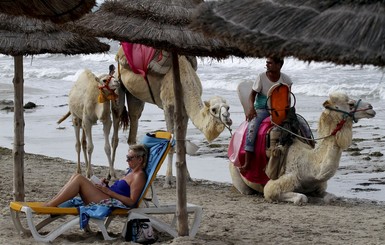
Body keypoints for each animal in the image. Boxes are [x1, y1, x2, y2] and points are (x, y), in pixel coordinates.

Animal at [114, 47, 232, 187]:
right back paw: (111, 174)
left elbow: (183, 145)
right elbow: (171, 143)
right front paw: (168, 180)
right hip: (118, 84)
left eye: (228, 107)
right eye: (214, 109)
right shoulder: (167, 105)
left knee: (134, 120)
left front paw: (188, 177)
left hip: (135, 95)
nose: (227, 118)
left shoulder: (184, 111)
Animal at [228, 82, 376, 205]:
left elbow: (331, 197)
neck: (309, 167)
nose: (371, 107)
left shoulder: (319, 185)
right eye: (350, 104)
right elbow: (300, 197)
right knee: (246, 189)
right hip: (237, 173)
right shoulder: (277, 183)